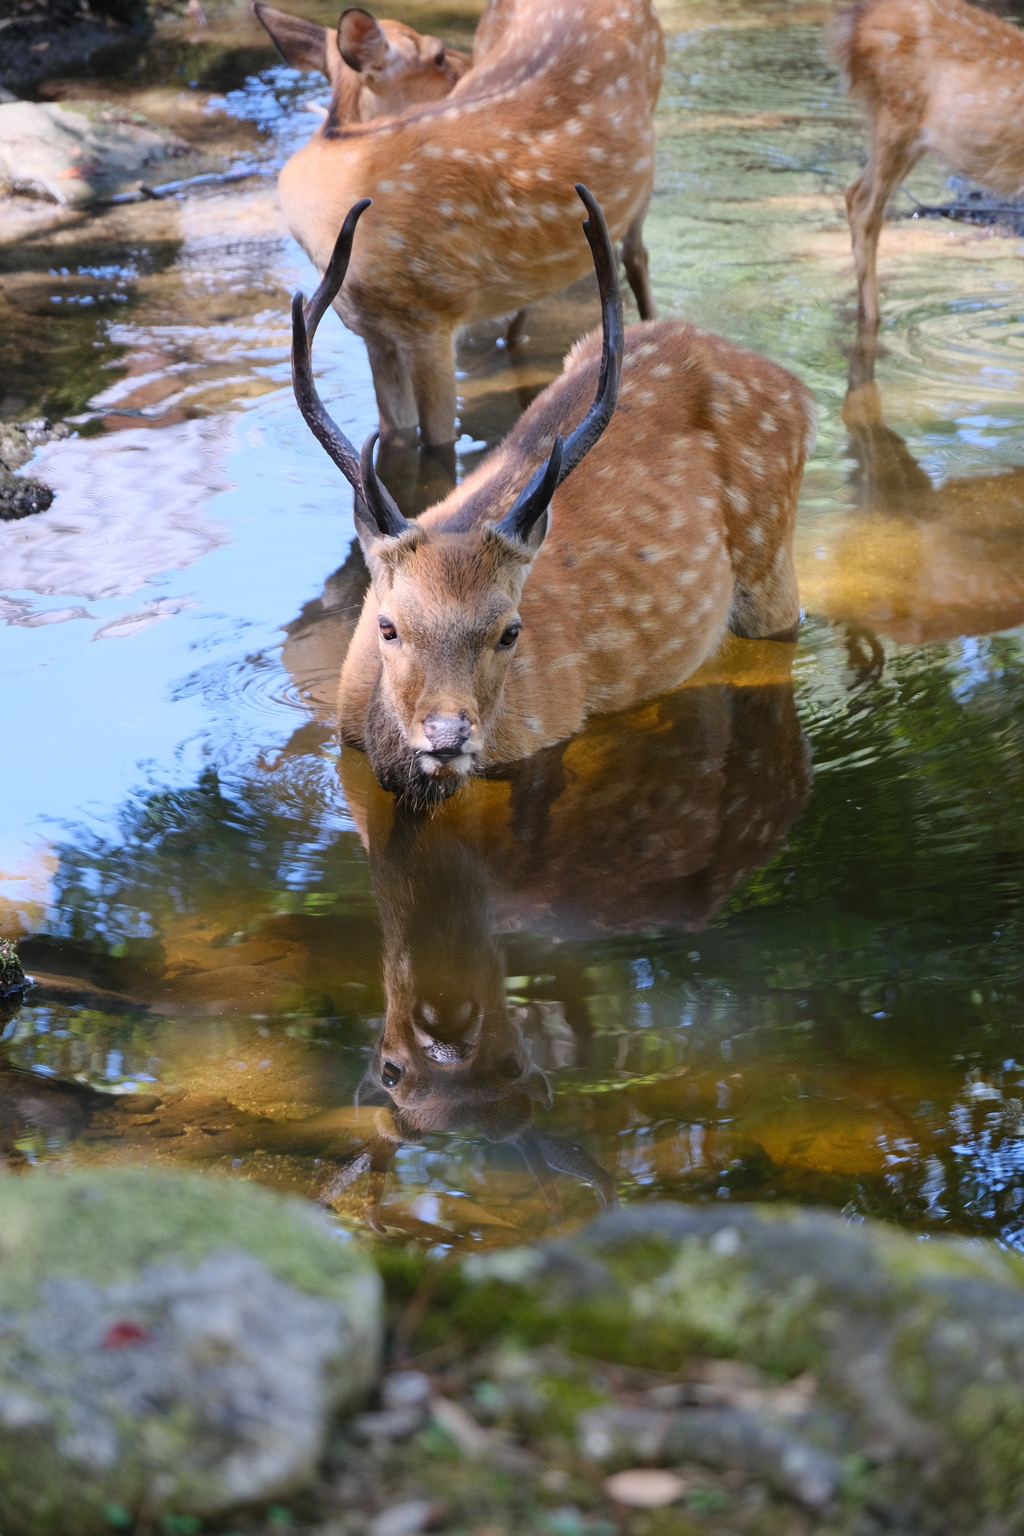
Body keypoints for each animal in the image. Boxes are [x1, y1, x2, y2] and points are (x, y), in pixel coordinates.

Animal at [268, 0, 666, 454]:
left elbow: (439, 445)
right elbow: (396, 435)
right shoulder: (375, 335)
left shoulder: (433, 316)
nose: (468, 69)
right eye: (439, 55)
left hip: (646, 164)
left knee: (636, 256)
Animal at [290, 187, 816, 811]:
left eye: (510, 631)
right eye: (387, 626)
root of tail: (798, 389)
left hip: (772, 564)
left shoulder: (551, 734)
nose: (447, 735)